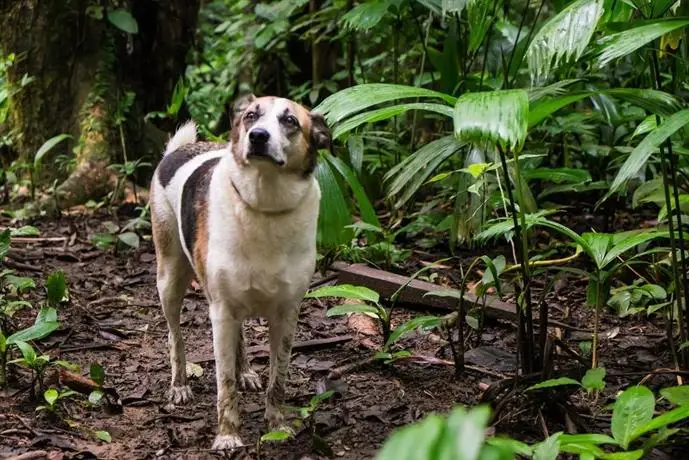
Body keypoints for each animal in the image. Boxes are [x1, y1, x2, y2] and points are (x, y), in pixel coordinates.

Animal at [150, 94, 330, 450]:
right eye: (250, 116)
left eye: (290, 120)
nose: (258, 136)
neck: (264, 204)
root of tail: (178, 149)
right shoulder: (220, 311)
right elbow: (224, 382)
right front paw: (227, 434)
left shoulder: (287, 313)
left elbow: (279, 378)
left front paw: (277, 425)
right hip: (170, 277)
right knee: (175, 334)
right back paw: (179, 384)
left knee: (240, 333)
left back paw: (245, 370)